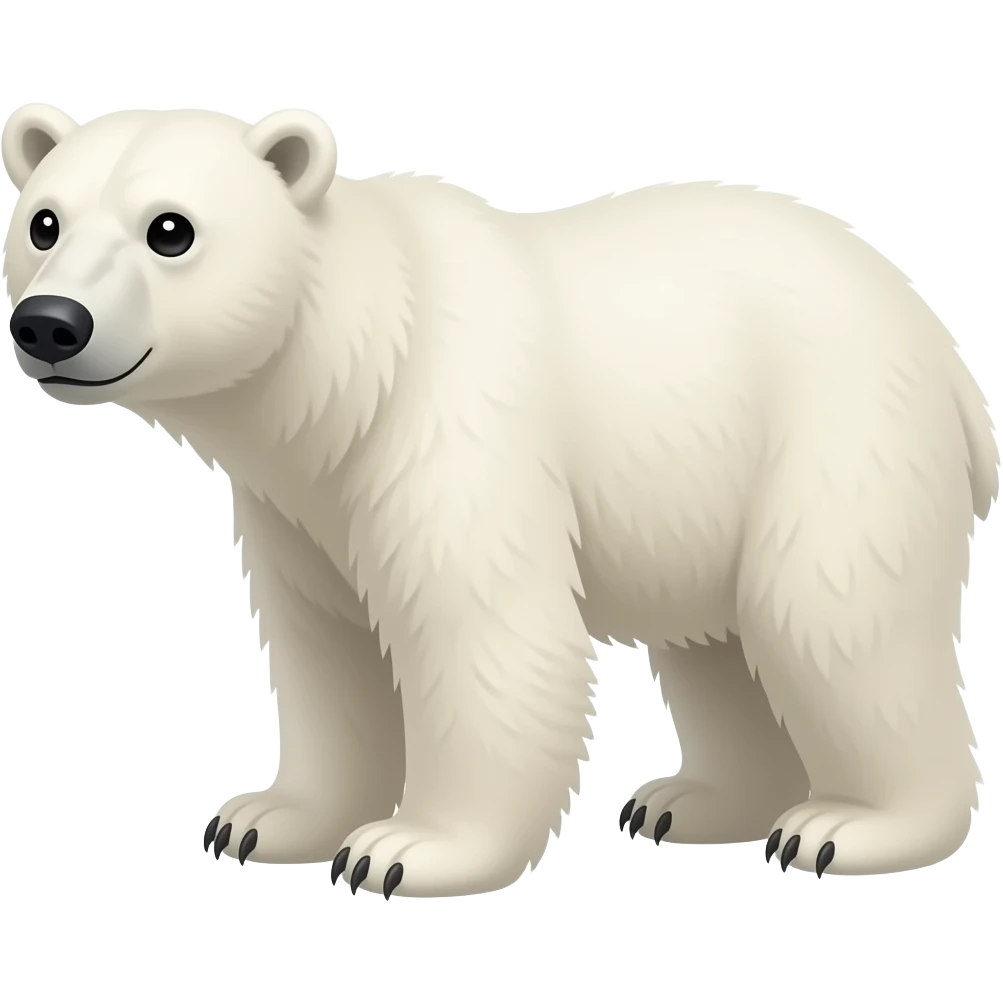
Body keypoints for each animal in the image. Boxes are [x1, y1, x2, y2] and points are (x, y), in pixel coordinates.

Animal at [3, 102, 997, 896]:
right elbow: (324, 650)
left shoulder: (446, 433)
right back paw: (693, 800)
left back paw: (842, 825)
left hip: (833, 437)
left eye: (170, 229)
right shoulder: (296, 505)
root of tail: (941, 347)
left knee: (829, 621)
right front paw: (261, 818)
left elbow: (482, 636)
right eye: (44, 222)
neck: (353, 367)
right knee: (714, 643)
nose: (50, 322)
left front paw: (402, 849)